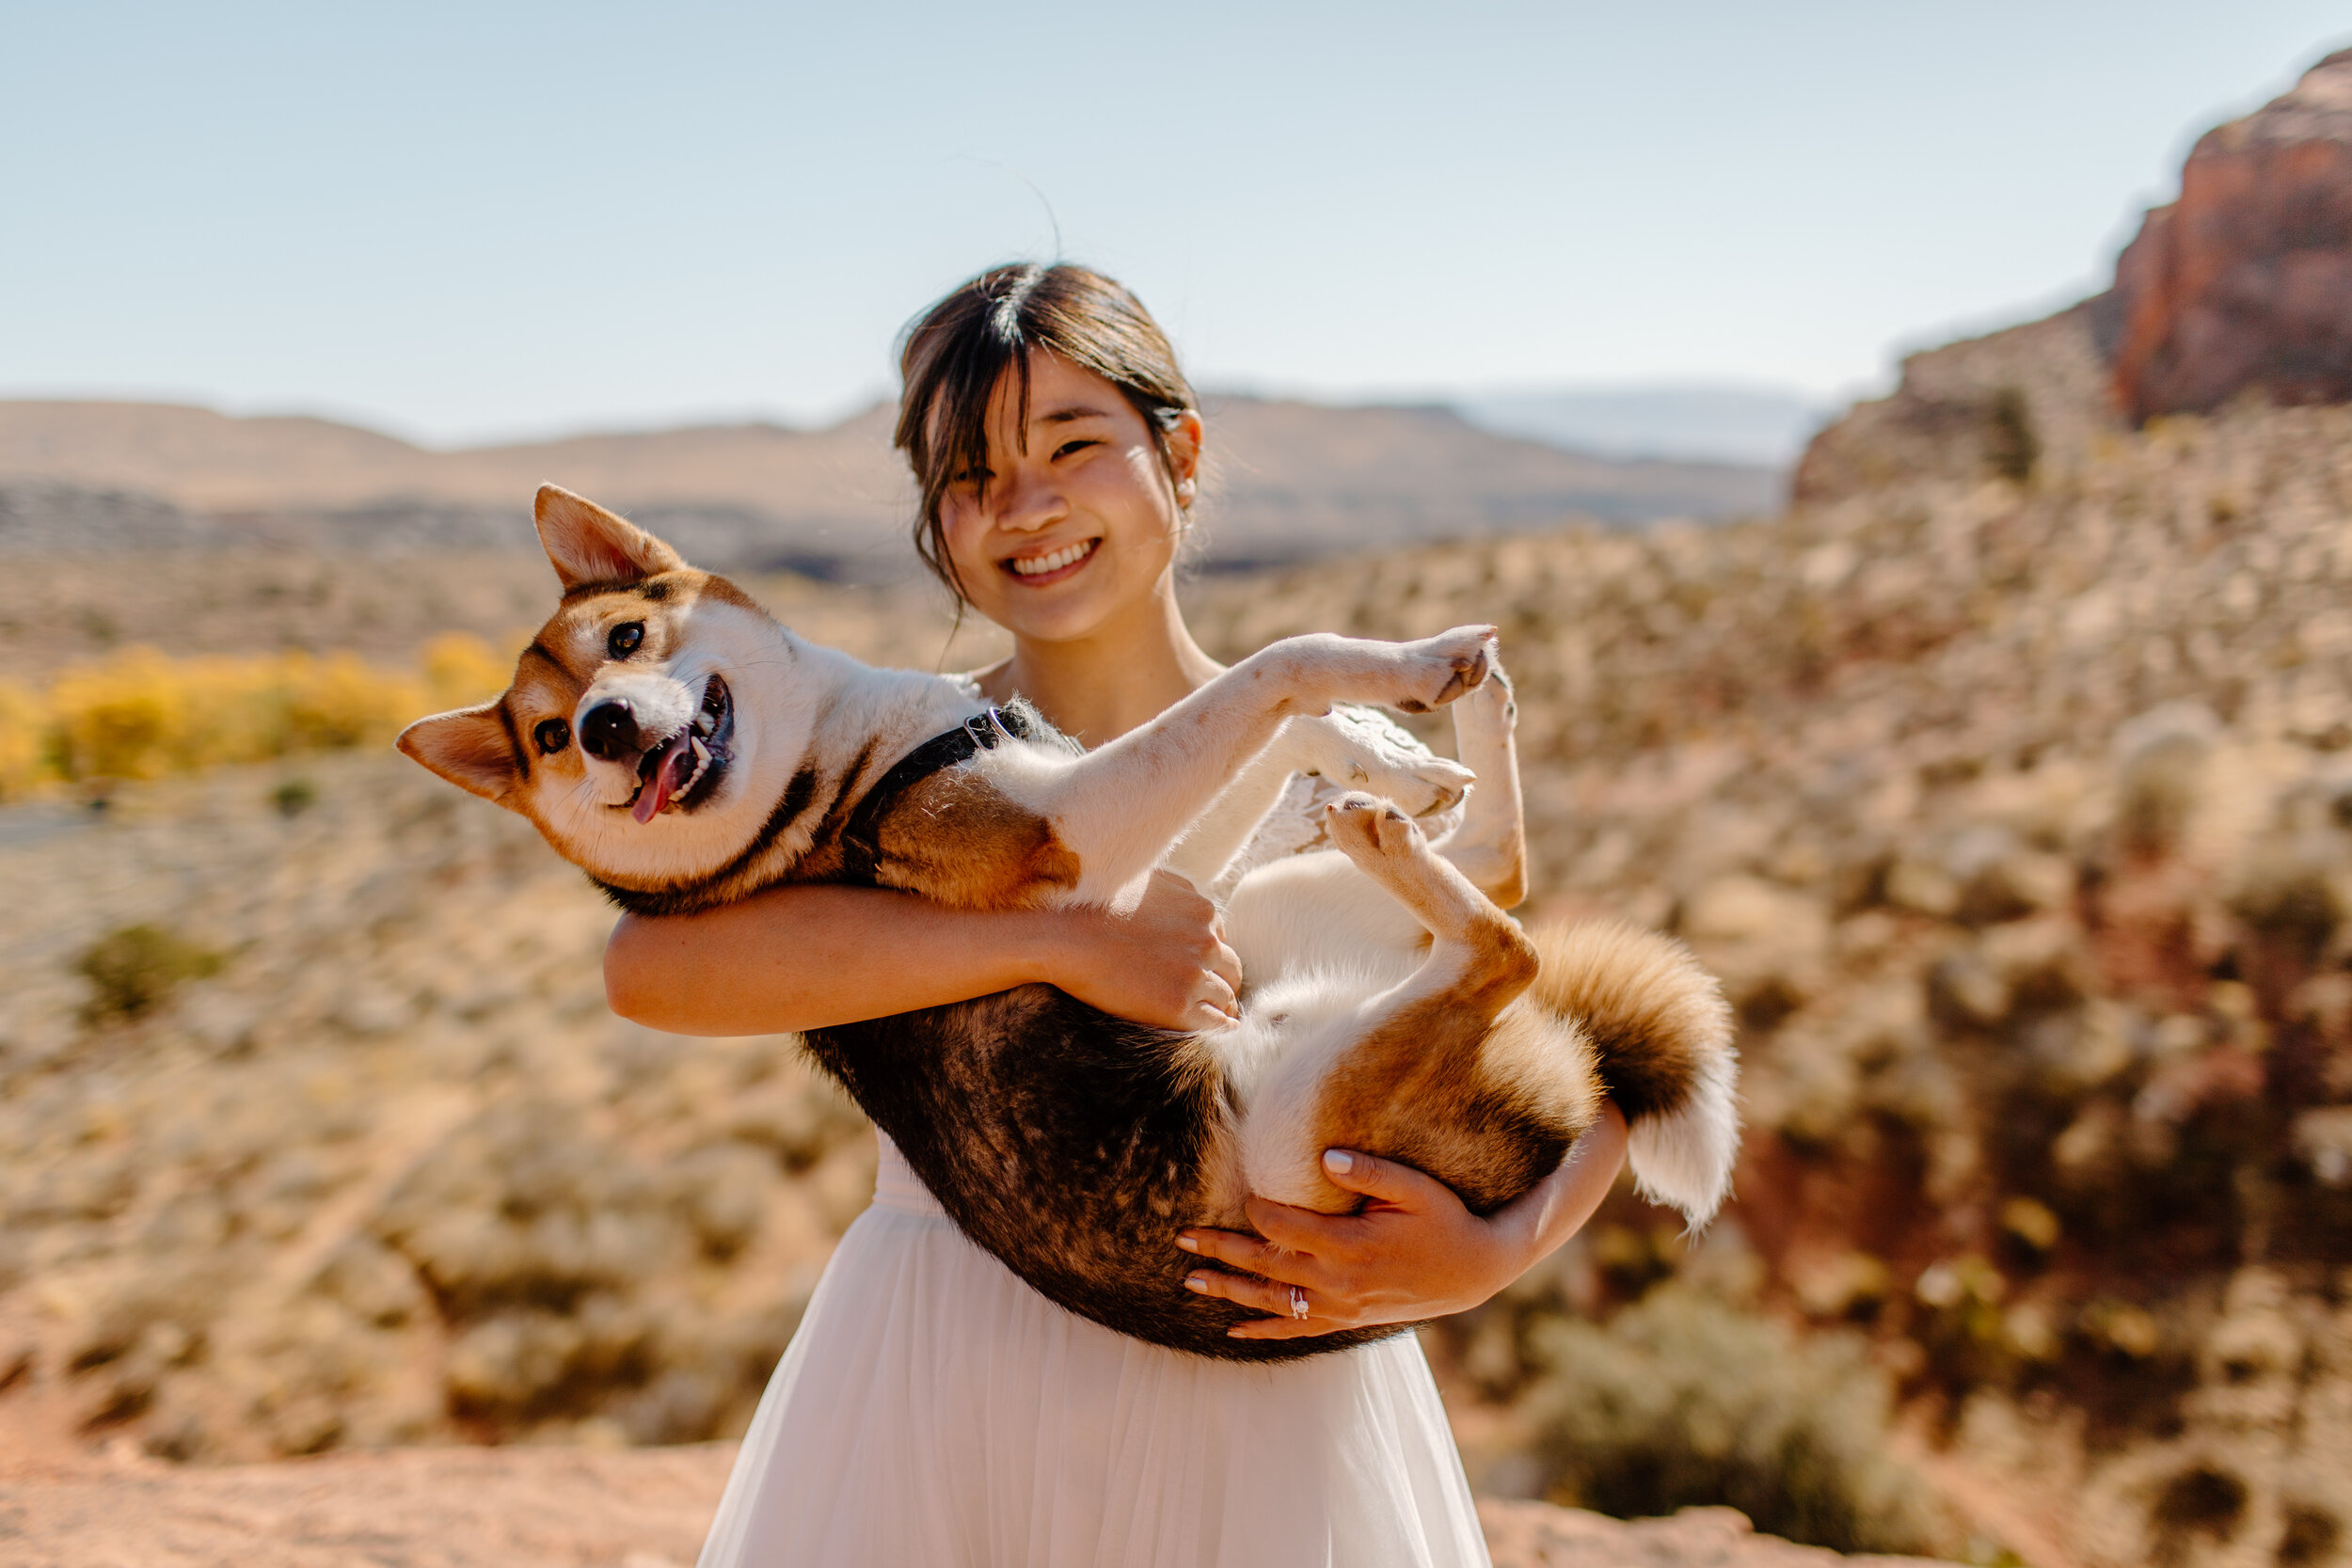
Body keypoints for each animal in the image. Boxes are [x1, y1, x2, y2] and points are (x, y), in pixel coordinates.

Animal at [400, 491, 1731, 1363]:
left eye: (623, 640)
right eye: (552, 739)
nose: (608, 728)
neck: (834, 769)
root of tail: (1567, 1084)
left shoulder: (1149, 857)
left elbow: (1277, 714)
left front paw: (1386, 746)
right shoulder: (1077, 837)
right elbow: (1274, 662)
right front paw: (1394, 686)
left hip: (1257, 912)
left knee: (1503, 866)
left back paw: (1435, 764)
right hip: (1297, 1132)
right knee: (1503, 939)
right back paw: (1399, 833)